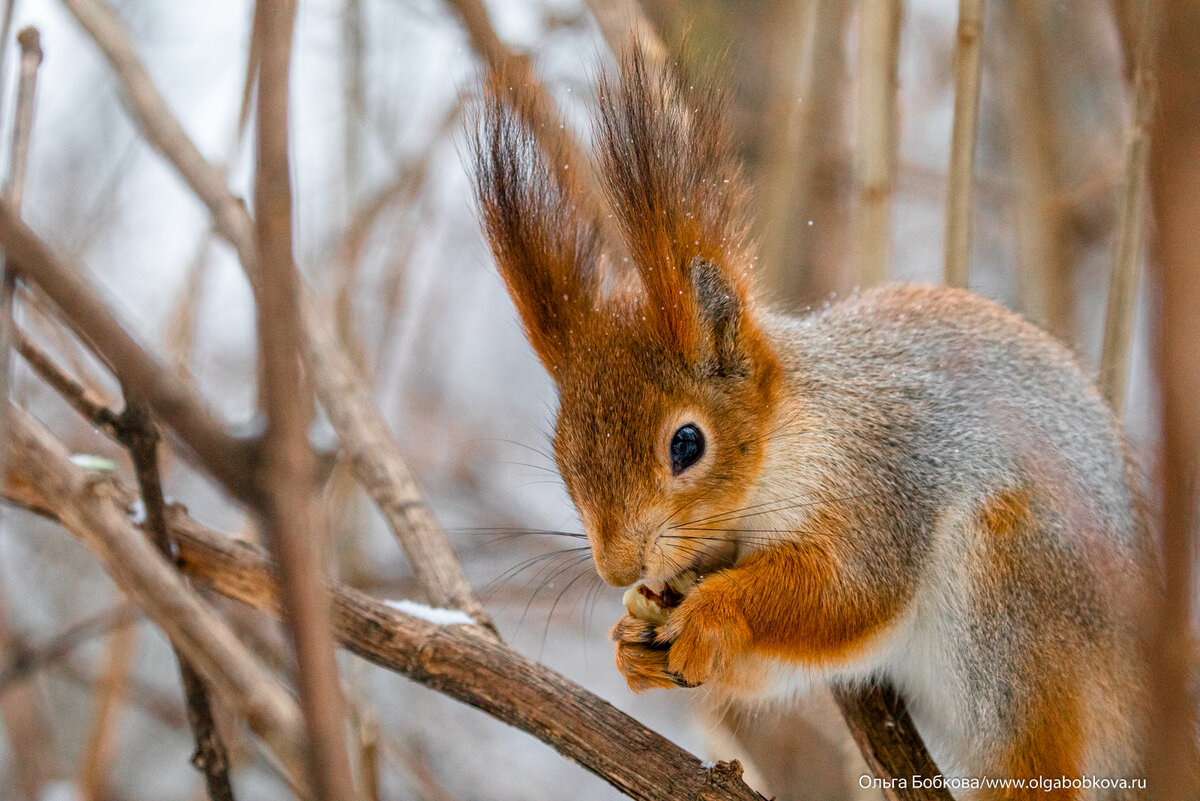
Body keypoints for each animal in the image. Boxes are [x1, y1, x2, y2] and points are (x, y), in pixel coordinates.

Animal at [470, 47, 1190, 796]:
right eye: (561, 456)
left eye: (687, 443)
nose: (617, 568)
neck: (781, 445)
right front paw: (630, 648)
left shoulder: (878, 481)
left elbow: (847, 590)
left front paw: (716, 611)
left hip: (1021, 593)